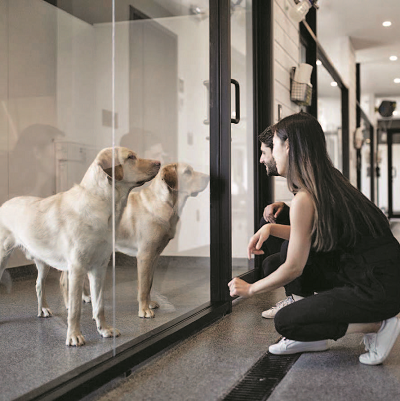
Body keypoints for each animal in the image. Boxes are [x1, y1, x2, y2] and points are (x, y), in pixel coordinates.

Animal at [0, 147, 159, 344]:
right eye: (131, 157)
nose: (159, 163)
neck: (103, 204)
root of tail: (4, 204)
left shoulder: (99, 268)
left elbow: (99, 305)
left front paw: (104, 329)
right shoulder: (77, 268)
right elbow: (75, 308)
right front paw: (74, 336)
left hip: (43, 261)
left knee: (38, 284)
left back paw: (43, 309)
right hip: (3, 257)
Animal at [60, 161, 209, 318]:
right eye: (187, 172)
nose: (209, 177)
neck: (164, 203)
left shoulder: (154, 256)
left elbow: (149, 284)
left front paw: (149, 304)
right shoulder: (145, 255)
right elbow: (143, 287)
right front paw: (144, 310)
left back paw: (84, 297)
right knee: (64, 280)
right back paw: (68, 304)